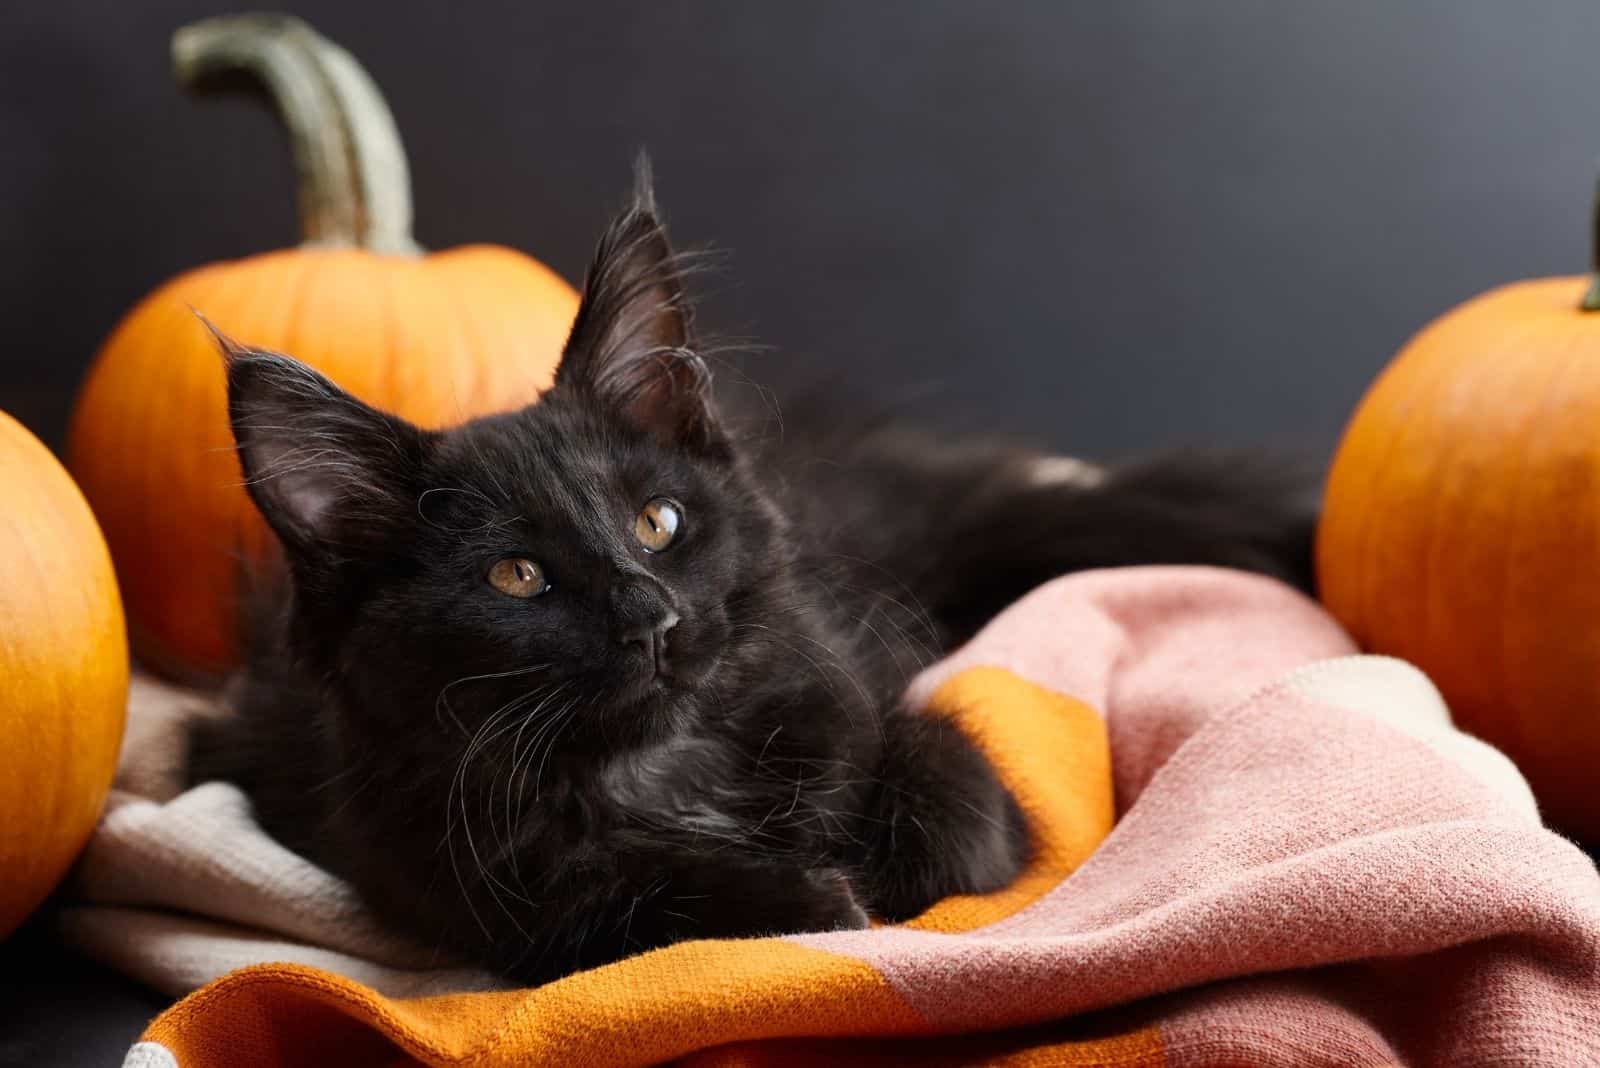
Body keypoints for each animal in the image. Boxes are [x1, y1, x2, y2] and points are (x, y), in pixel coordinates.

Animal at [190, 167, 1312, 984]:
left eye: (656, 523)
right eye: (517, 577)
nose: (649, 617)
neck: (658, 762)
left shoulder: (860, 682)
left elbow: (963, 809)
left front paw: (882, 865)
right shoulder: (437, 867)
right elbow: (619, 906)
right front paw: (811, 894)